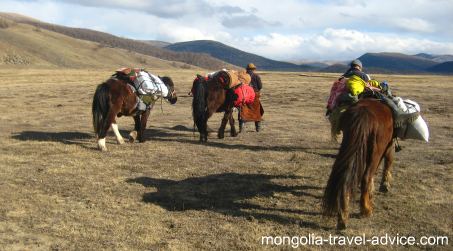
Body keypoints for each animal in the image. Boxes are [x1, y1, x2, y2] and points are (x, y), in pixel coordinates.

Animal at [322, 98, 396, 229]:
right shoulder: (389, 146)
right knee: (366, 177)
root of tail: (363, 113)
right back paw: (366, 210)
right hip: (376, 152)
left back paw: (343, 217)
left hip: (349, 145)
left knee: (344, 178)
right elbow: (388, 162)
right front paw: (384, 185)